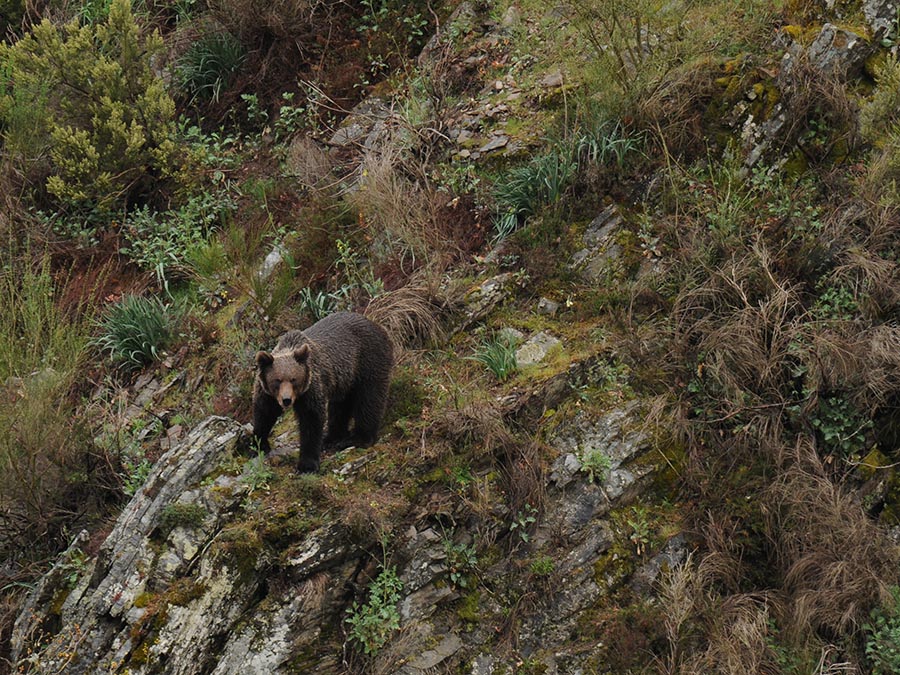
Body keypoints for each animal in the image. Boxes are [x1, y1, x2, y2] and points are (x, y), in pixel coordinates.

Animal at [253, 312, 394, 476]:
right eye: (277, 380)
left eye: (293, 379)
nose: (286, 400)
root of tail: (379, 327)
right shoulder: (266, 392)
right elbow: (264, 413)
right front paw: (259, 445)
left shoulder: (311, 388)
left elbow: (311, 420)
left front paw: (307, 465)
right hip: (345, 379)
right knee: (340, 406)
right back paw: (332, 437)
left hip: (369, 361)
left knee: (369, 400)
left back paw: (359, 438)